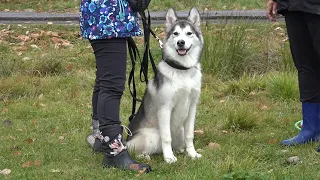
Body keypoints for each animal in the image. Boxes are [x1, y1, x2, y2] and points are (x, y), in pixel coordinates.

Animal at [126, 8, 204, 163]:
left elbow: (190, 135)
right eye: (175, 33)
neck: (182, 70)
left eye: (189, 33)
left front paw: (192, 154)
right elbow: (166, 137)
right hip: (151, 136)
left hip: (180, 131)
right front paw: (168, 158)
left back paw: (180, 150)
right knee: (134, 150)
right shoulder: (165, 108)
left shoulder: (192, 107)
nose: (181, 42)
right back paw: (145, 156)